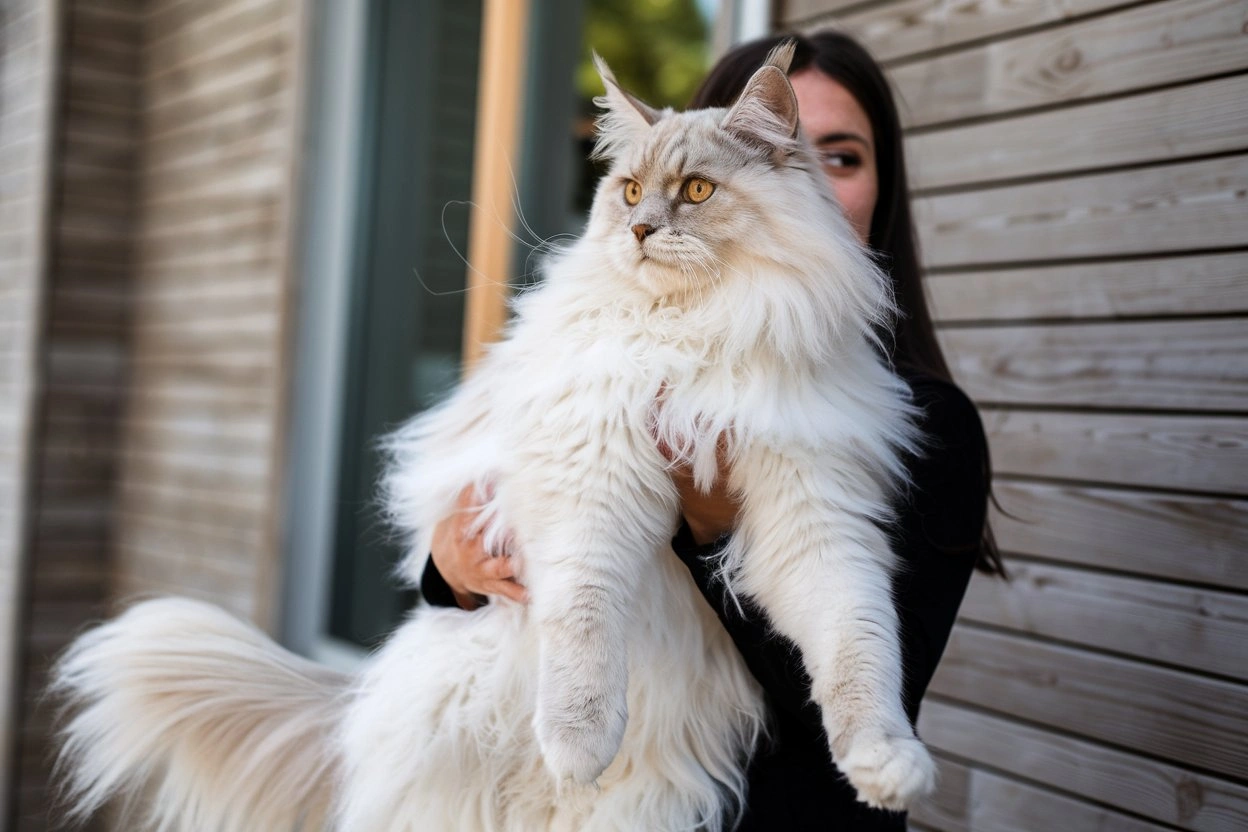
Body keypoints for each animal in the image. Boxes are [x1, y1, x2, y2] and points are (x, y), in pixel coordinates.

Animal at [56, 47, 938, 832]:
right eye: (628, 192)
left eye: (695, 191)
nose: (641, 230)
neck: (694, 335)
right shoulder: (591, 485)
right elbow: (586, 623)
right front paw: (579, 744)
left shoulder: (816, 516)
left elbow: (860, 650)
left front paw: (887, 766)